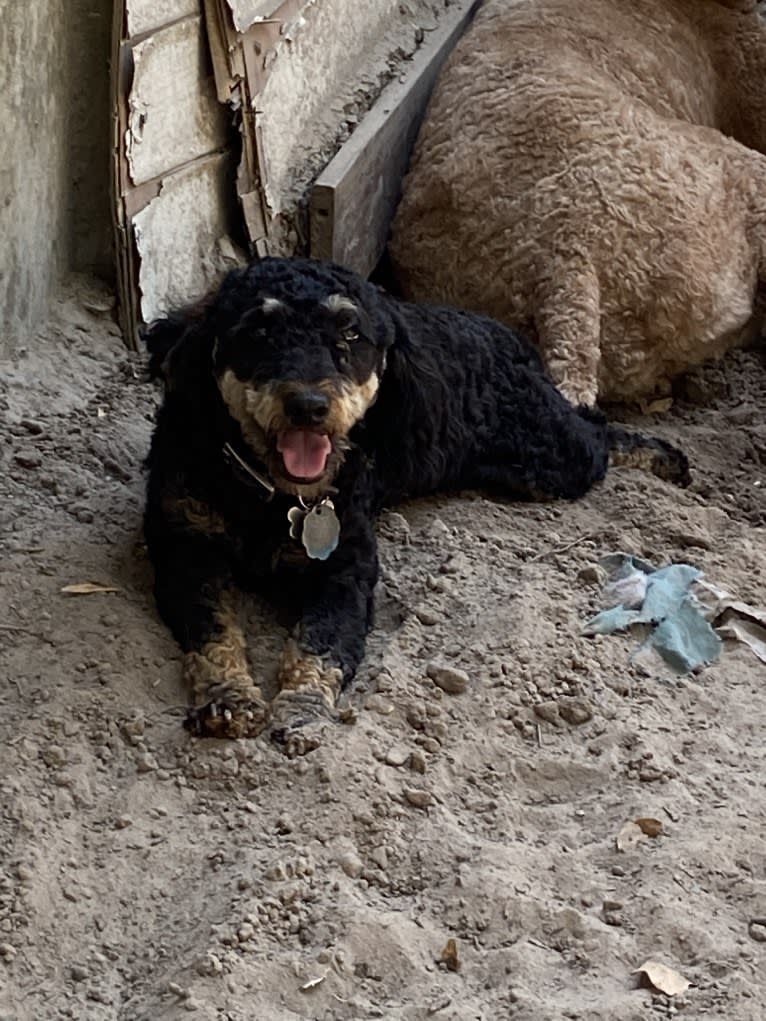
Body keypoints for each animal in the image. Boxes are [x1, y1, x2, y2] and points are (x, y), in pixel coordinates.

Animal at [144, 257, 690, 751]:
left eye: (350, 335)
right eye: (259, 331)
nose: (308, 406)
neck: (275, 495)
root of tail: (511, 338)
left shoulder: (346, 565)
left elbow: (322, 640)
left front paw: (301, 708)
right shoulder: (185, 548)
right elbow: (213, 633)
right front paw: (229, 698)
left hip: (550, 457)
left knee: (595, 431)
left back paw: (665, 459)